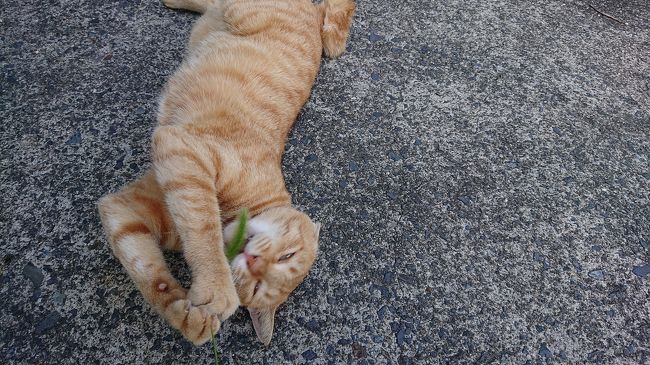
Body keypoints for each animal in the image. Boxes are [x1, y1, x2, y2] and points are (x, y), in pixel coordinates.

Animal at [96, 0, 354, 346]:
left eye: (258, 287)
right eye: (287, 255)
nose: (254, 261)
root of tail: (313, 13)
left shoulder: (123, 210)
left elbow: (151, 277)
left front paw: (188, 318)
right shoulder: (185, 151)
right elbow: (202, 228)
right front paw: (216, 286)